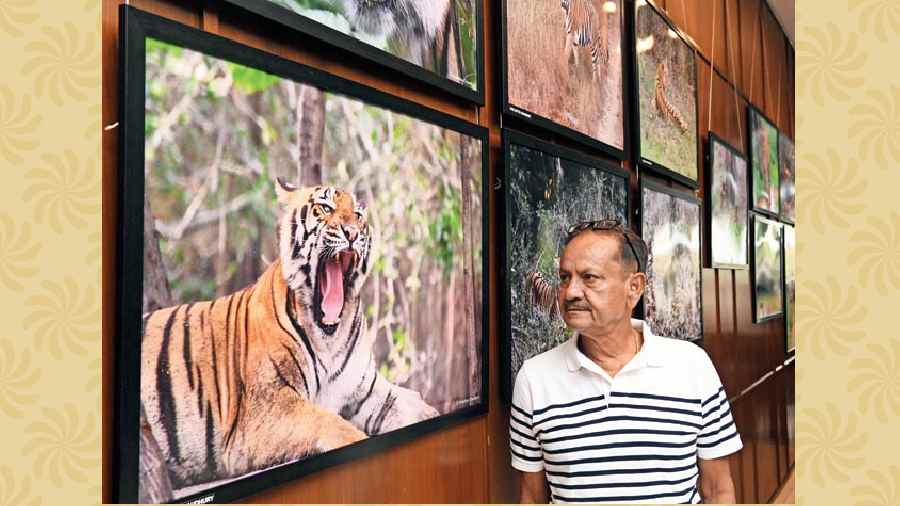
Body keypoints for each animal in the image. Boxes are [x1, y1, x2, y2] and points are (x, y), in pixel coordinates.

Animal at [139, 181, 442, 490]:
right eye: (325, 208)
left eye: (358, 215)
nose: (352, 233)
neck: (329, 337)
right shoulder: (265, 409)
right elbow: (330, 422)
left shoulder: (368, 392)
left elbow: (411, 405)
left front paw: (427, 412)